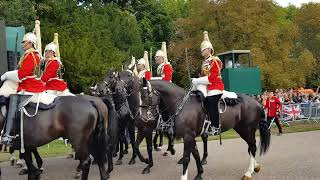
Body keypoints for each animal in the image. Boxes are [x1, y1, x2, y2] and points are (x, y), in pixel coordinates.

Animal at [139, 79, 270, 180]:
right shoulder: (191, 136)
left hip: (247, 130)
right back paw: (255, 167)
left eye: (144, 96)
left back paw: (248, 173)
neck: (181, 104)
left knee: (252, 147)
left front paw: (184, 177)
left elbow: (186, 158)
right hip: (242, 129)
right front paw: (199, 173)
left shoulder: (188, 136)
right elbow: (196, 154)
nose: (143, 118)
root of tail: (257, 102)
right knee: (251, 147)